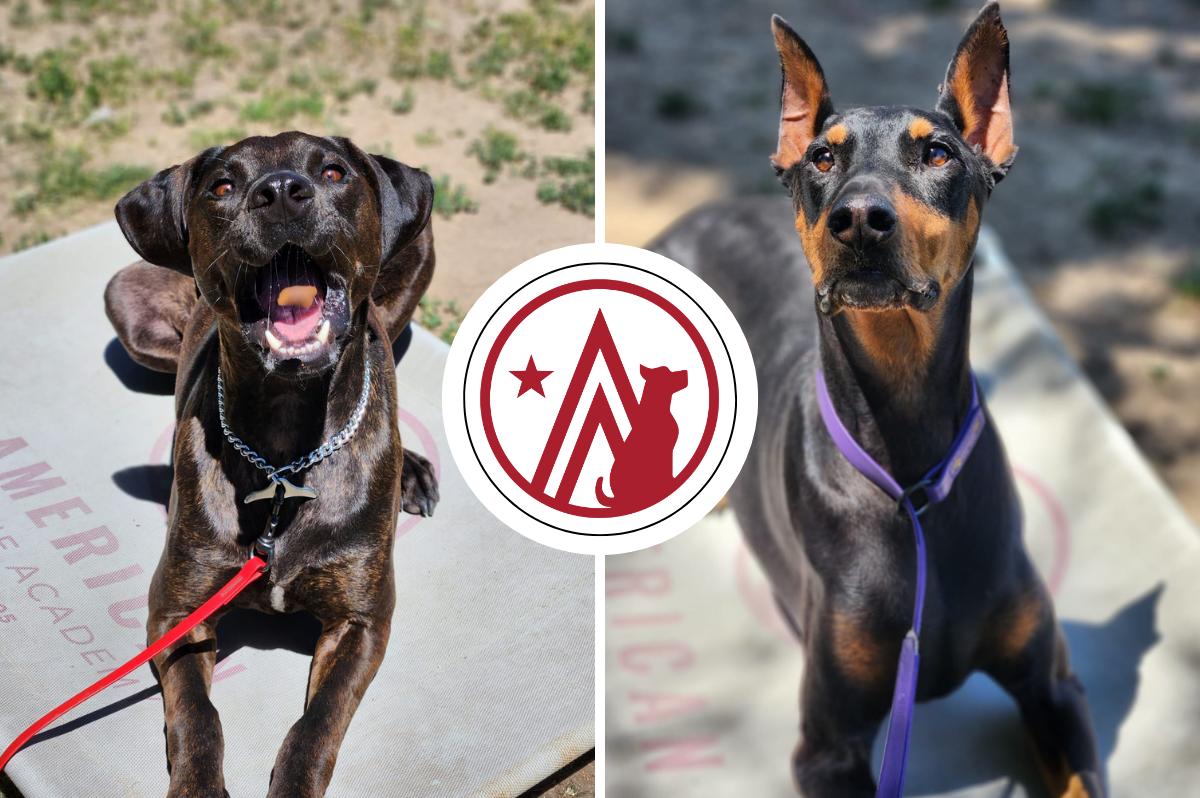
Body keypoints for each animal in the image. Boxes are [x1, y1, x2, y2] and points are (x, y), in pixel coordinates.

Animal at [104, 132, 441, 796]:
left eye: (333, 172)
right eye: (222, 186)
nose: (282, 191)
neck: (286, 455)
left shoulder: (362, 621)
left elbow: (317, 723)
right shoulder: (176, 611)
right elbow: (198, 714)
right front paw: (198, 786)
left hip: (418, 254)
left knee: (385, 345)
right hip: (126, 306)